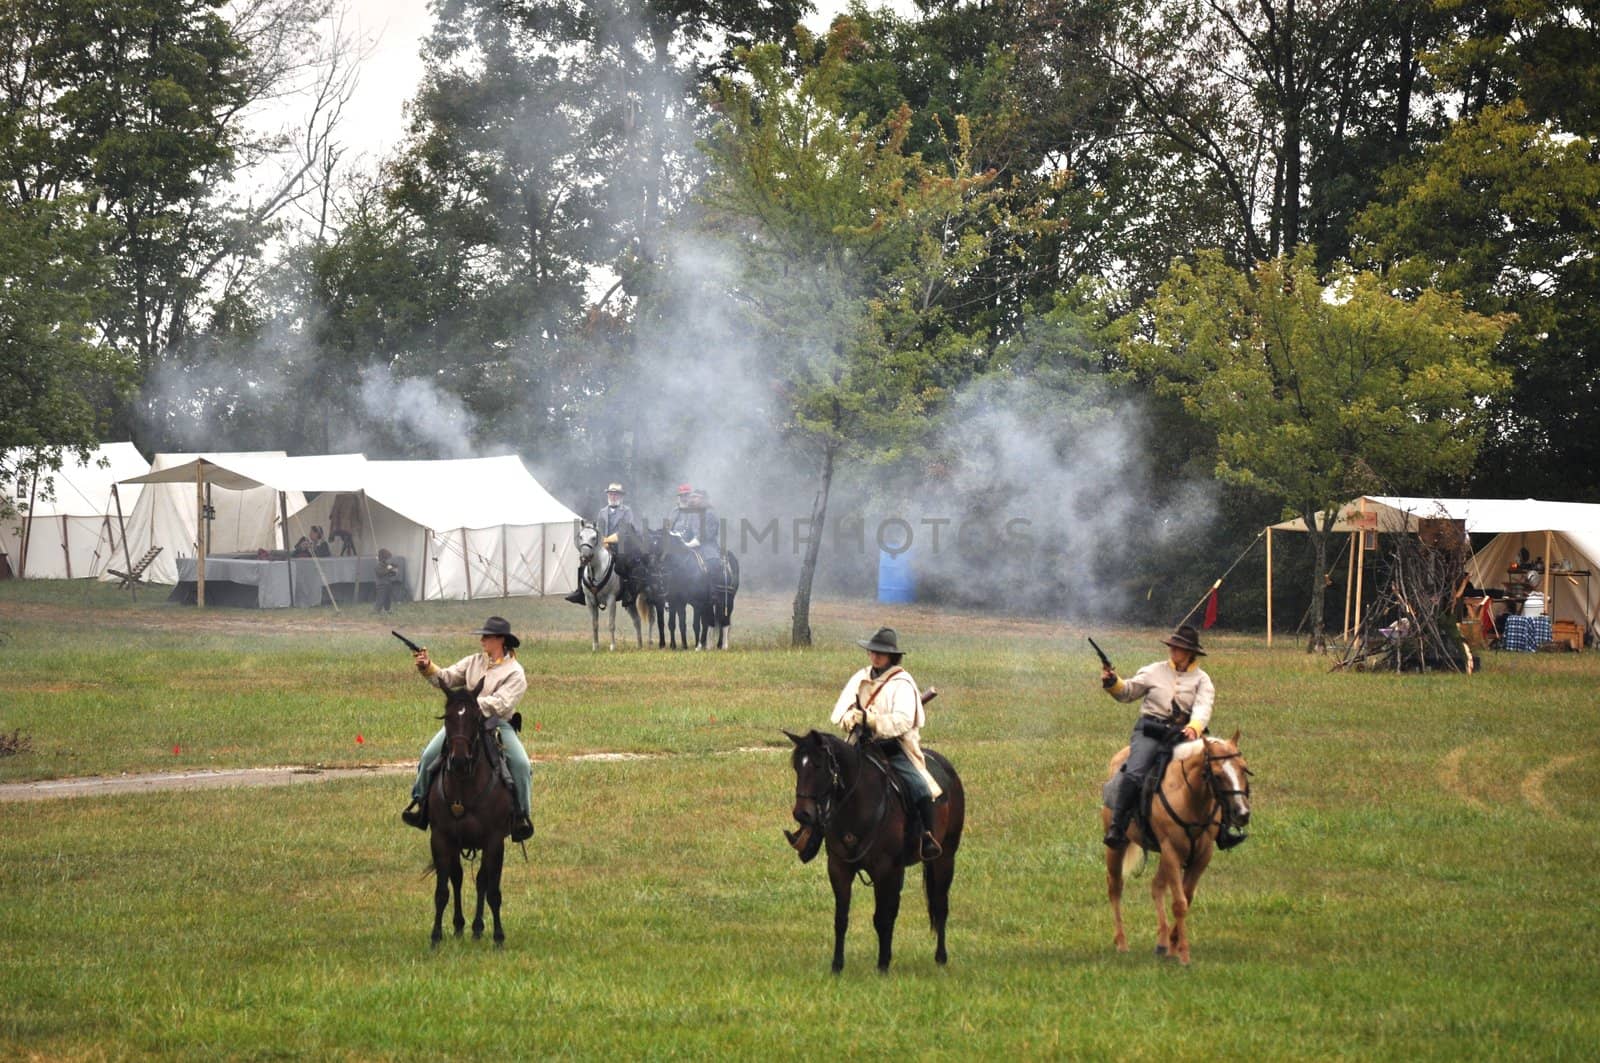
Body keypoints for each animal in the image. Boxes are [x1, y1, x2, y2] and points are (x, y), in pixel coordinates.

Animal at [425, 681, 512, 947]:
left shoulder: (494, 841)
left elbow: (493, 891)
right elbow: (442, 891)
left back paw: (476, 928)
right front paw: (436, 937)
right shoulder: (441, 839)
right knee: (458, 877)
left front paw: (498, 937)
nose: (460, 761)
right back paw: (460, 926)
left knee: (482, 880)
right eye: (447, 717)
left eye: (475, 717)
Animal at [784, 730, 960, 973]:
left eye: (818, 765)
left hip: (945, 858)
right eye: (797, 767)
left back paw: (941, 958)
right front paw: (837, 966)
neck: (857, 804)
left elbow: (882, 918)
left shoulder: (884, 869)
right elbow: (841, 918)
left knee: (940, 905)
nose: (802, 814)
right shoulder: (839, 868)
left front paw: (883, 965)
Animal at [1100, 730, 1248, 960]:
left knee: (1156, 886)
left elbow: (1186, 897)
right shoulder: (1171, 850)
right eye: (1217, 775)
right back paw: (1122, 943)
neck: (1190, 797)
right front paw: (1184, 953)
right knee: (1115, 886)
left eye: (1243, 768)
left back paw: (1161, 943)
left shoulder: (1202, 855)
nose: (1242, 813)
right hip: (1117, 847)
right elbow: (1179, 903)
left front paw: (1173, 943)